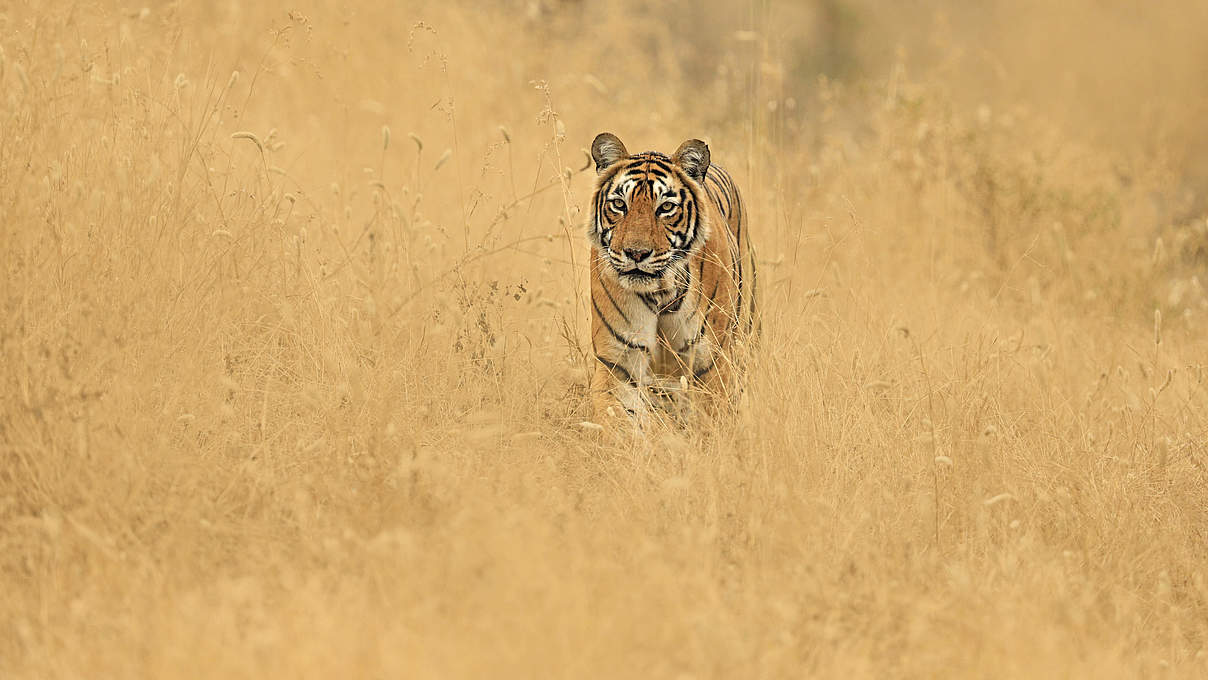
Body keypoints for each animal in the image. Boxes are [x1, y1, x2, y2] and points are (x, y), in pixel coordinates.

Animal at [584, 132, 753, 425]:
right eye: (619, 204)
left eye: (665, 208)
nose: (636, 253)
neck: (660, 292)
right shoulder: (619, 364)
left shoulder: (712, 365)